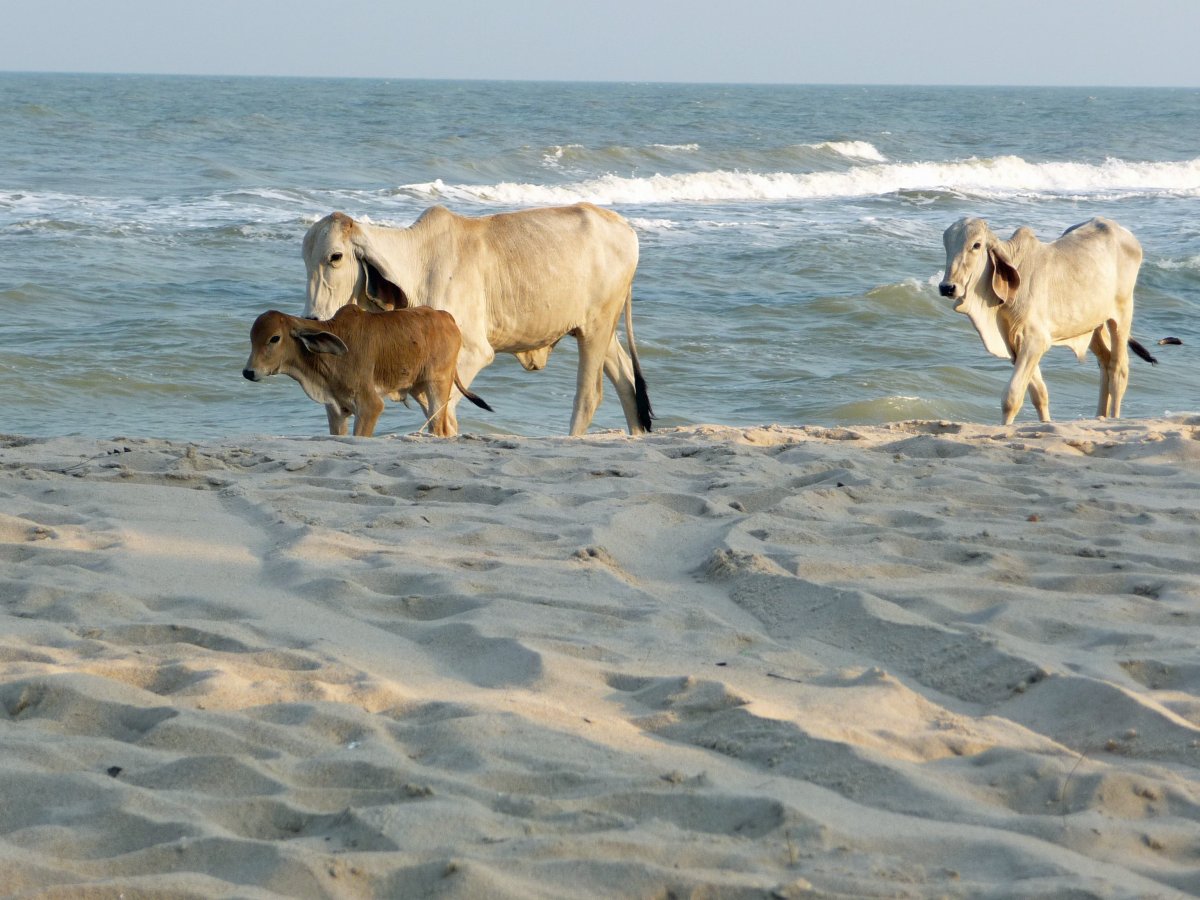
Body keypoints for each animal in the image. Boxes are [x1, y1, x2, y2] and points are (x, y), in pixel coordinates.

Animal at [242, 305, 492, 438]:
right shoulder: (335, 410)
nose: (248, 372)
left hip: (437, 385)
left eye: (274, 338)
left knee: (439, 427)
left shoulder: (370, 406)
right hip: (419, 390)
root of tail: (446, 316)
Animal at [301, 203, 652, 437]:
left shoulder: (471, 353)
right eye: (305, 259)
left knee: (588, 397)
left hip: (596, 327)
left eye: (335, 257)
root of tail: (625, 228)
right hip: (598, 330)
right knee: (628, 383)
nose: (312, 317)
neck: (417, 265)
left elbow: (441, 413)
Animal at [939, 216, 1156, 425]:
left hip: (1121, 315)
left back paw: (1114, 418)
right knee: (1105, 364)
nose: (947, 287)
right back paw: (1099, 416)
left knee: (1118, 370)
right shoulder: (1016, 344)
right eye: (946, 244)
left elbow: (1012, 396)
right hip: (1091, 325)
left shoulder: (1035, 340)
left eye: (976, 245)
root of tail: (1126, 234)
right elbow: (1039, 394)